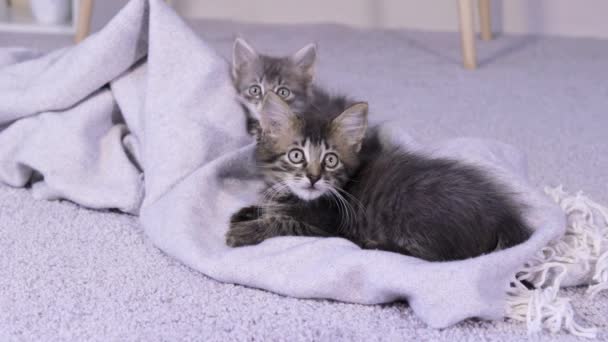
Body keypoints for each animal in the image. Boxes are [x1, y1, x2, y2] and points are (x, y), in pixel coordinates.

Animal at [226, 92, 528, 260]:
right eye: (296, 155)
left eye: (331, 160)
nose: (313, 178)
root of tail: (502, 215)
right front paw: (246, 212)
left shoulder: (328, 226)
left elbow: (285, 224)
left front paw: (244, 231)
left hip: (420, 217)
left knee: (439, 257)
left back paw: (373, 244)